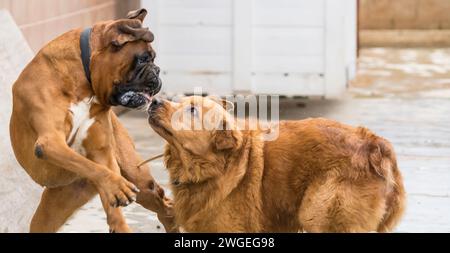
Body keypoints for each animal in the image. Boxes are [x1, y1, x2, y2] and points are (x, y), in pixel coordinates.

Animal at [9, 8, 177, 233]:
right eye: (143, 59)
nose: (157, 71)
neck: (82, 81)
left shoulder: (101, 152)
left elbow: (100, 169)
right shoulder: (50, 143)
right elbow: (88, 165)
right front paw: (116, 186)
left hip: (141, 183)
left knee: (166, 208)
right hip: (49, 214)